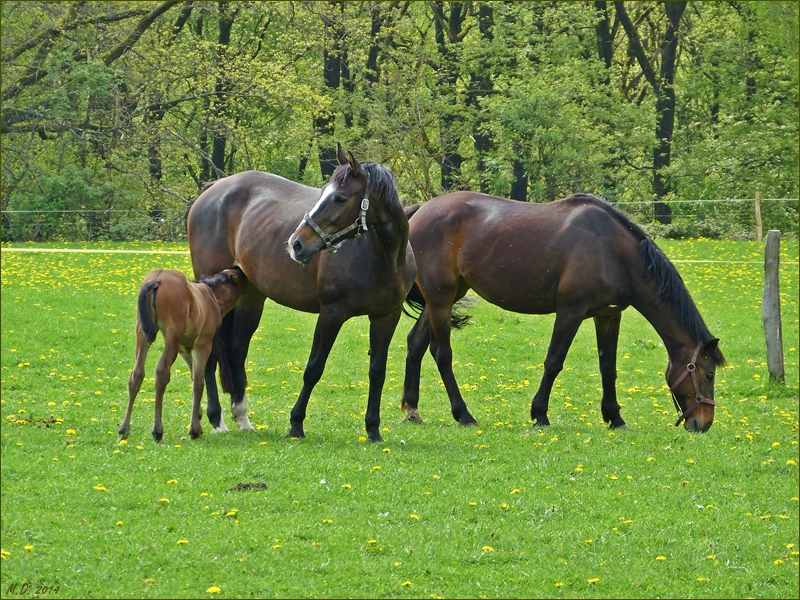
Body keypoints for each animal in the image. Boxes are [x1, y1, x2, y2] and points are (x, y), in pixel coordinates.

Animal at [119, 268, 247, 440]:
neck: (211, 295)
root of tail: (157, 279)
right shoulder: (203, 344)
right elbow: (199, 382)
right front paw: (195, 429)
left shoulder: (185, 349)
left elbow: (194, 378)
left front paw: (198, 422)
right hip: (172, 335)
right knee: (162, 372)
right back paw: (157, 431)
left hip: (142, 333)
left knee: (137, 373)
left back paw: (123, 430)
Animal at [185, 146, 416, 440]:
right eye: (323, 192)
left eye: (340, 198)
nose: (296, 244)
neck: (385, 256)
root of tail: (214, 189)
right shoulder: (332, 313)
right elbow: (314, 368)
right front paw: (296, 423)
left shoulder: (386, 316)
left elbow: (377, 371)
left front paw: (373, 429)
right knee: (212, 355)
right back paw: (217, 419)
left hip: (251, 297)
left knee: (236, 350)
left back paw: (242, 418)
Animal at [404, 192, 720, 432]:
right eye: (708, 374)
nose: (703, 423)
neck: (611, 250)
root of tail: (420, 210)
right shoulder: (570, 311)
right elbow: (554, 362)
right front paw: (540, 414)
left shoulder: (608, 315)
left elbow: (608, 367)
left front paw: (615, 417)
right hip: (441, 298)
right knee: (441, 353)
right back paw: (464, 414)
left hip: (443, 298)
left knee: (415, 344)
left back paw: (411, 409)